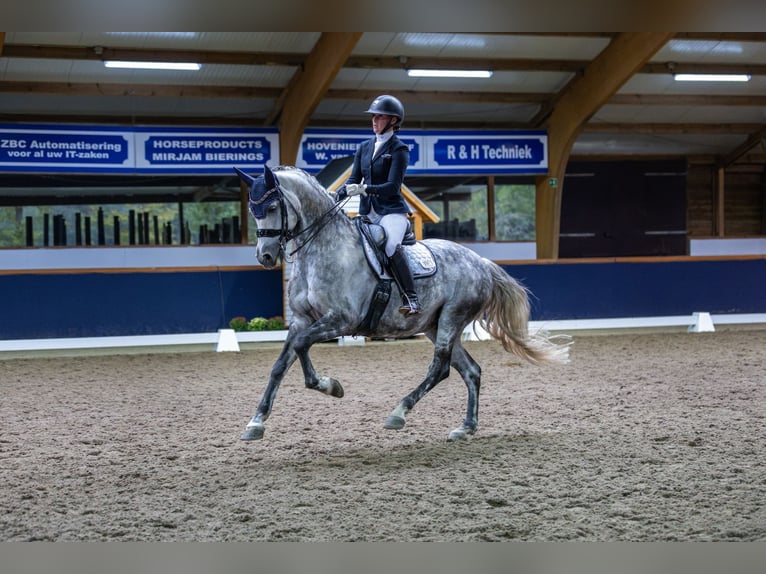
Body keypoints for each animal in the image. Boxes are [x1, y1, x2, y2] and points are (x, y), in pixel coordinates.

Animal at [235, 164, 571, 442]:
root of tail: (482, 262)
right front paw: (256, 423)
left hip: (450, 320)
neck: (321, 250)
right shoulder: (303, 320)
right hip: (435, 326)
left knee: (440, 368)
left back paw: (399, 412)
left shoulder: (340, 319)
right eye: (253, 209)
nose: (266, 256)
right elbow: (280, 365)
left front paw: (331, 386)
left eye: (273, 206)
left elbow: (303, 346)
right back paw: (465, 428)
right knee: (470, 370)